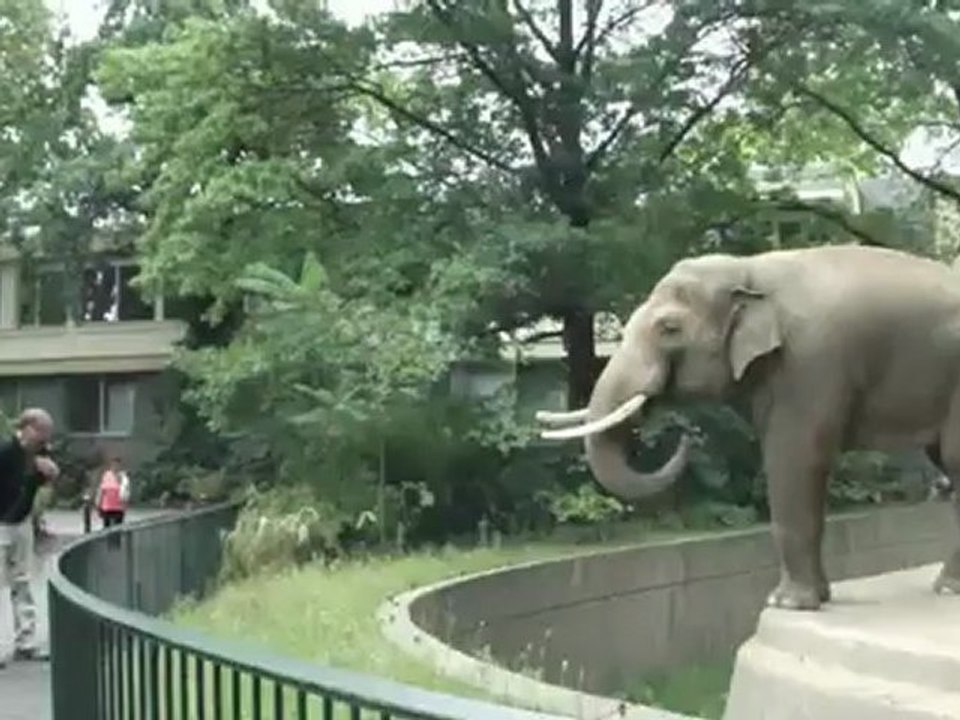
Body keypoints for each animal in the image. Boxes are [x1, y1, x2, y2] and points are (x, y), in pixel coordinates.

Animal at [536, 243, 960, 611]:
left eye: (669, 328)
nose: (686, 435)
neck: (748, 268)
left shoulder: (810, 362)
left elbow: (796, 458)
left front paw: (787, 604)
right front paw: (815, 598)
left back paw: (946, 589)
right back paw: (947, 589)